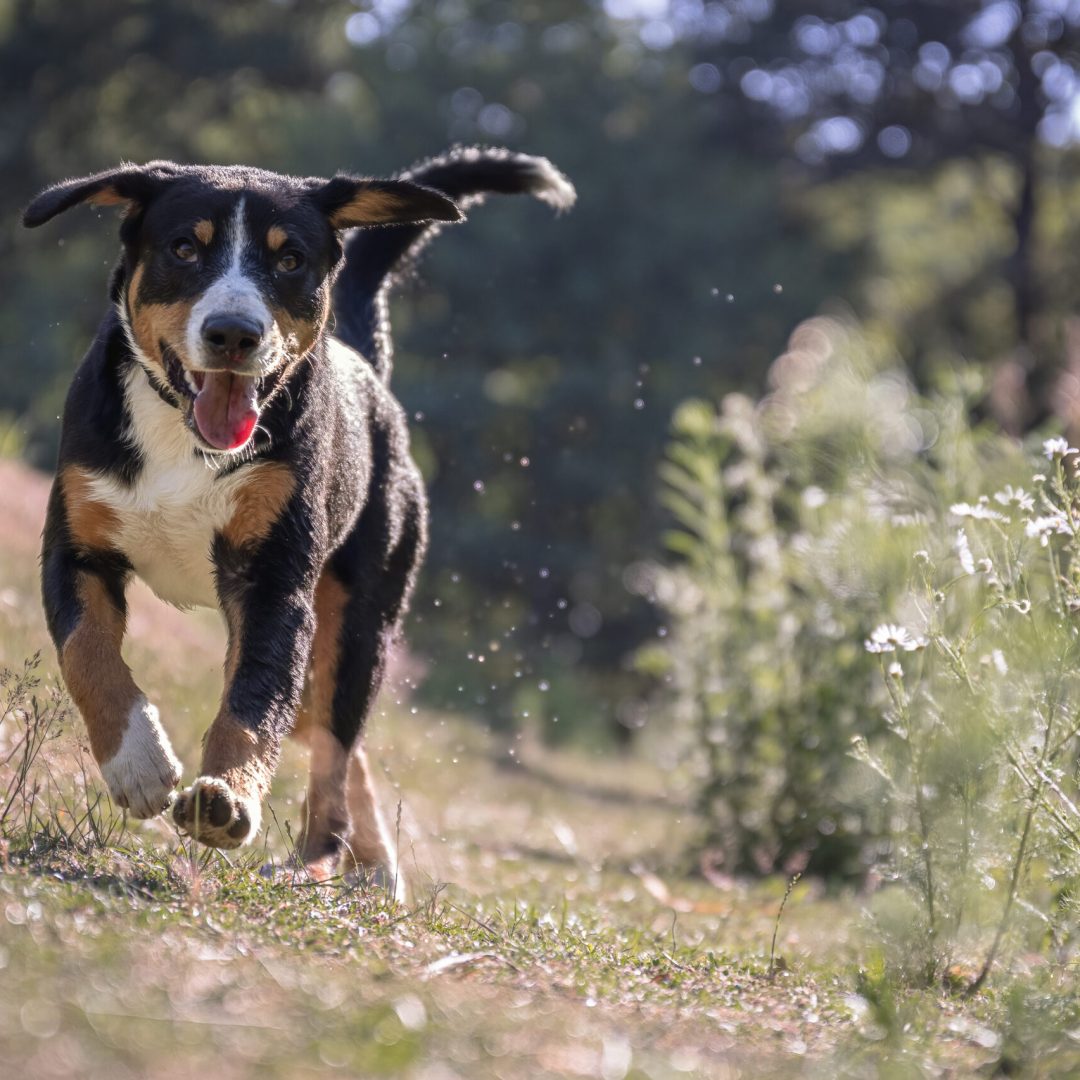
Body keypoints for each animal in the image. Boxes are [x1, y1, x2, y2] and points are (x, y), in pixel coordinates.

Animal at [23, 145, 574, 885]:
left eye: (289, 260)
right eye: (184, 248)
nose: (233, 332)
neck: (182, 439)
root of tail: (366, 366)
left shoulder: (274, 587)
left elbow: (253, 704)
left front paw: (226, 797)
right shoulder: (76, 548)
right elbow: (88, 655)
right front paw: (137, 764)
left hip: (355, 622)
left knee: (334, 747)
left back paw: (318, 862)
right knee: (326, 735)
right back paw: (368, 860)